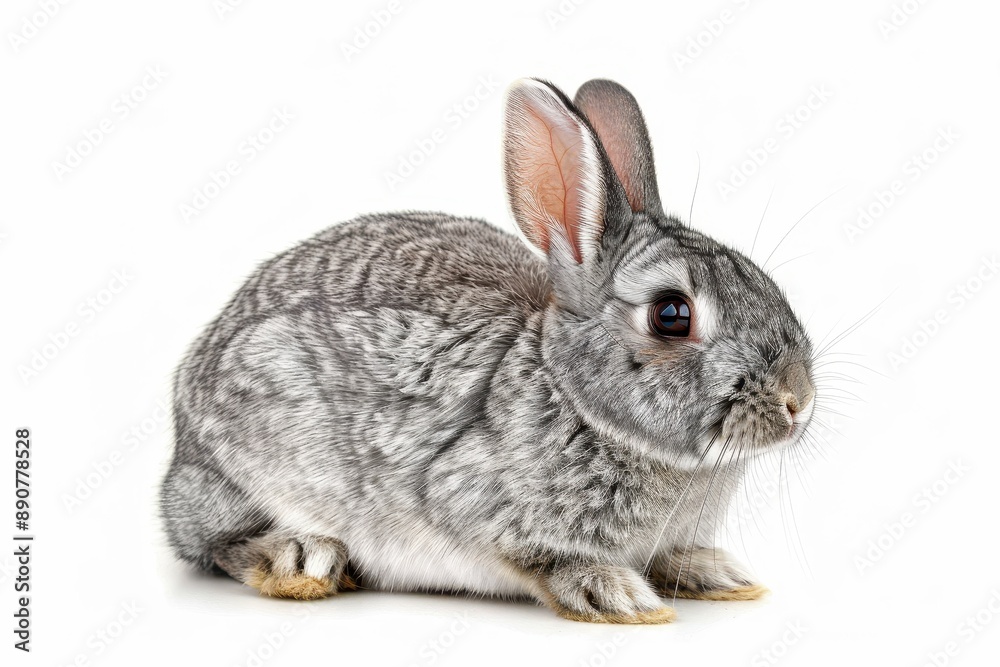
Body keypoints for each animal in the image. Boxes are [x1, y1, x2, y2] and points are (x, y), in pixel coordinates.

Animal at [160, 77, 816, 624]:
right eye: (671, 315)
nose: (799, 401)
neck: (575, 399)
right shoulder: (470, 500)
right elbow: (541, 559)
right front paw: (618, 596)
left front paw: (716, 573)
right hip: (248, 452)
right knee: (218, 544)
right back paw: (301, 559)